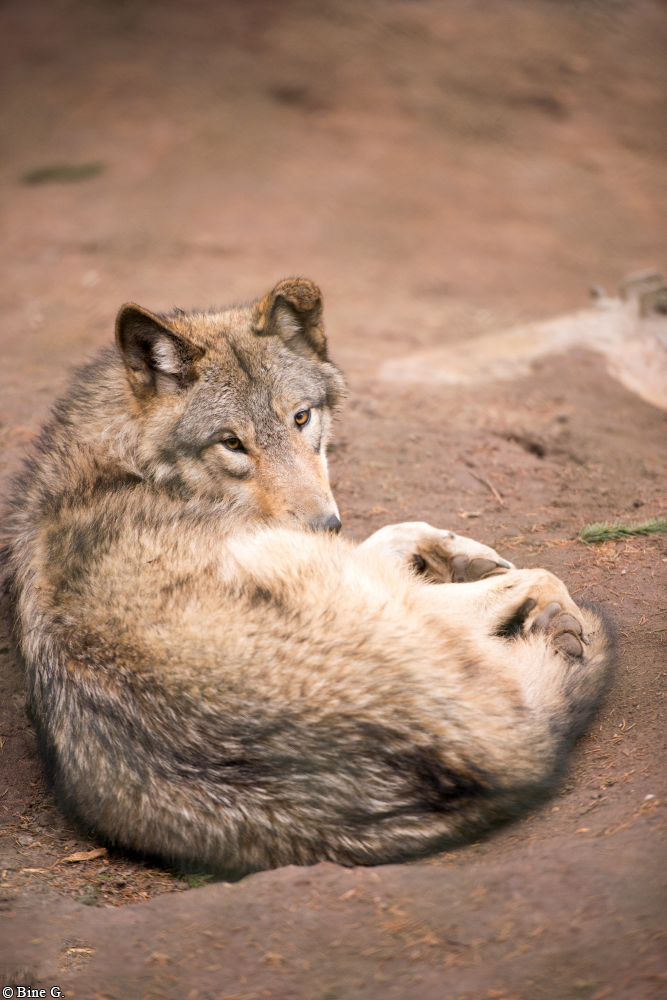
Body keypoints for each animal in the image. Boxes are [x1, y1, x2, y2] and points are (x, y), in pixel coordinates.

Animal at [3, 278, 613, 877]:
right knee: (536, 581)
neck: (124, 464)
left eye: (302, 417)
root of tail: (498, 757)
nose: (324, 524)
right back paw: (556, 625)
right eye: (232, 443)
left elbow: (390, 532)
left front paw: (454, 550)